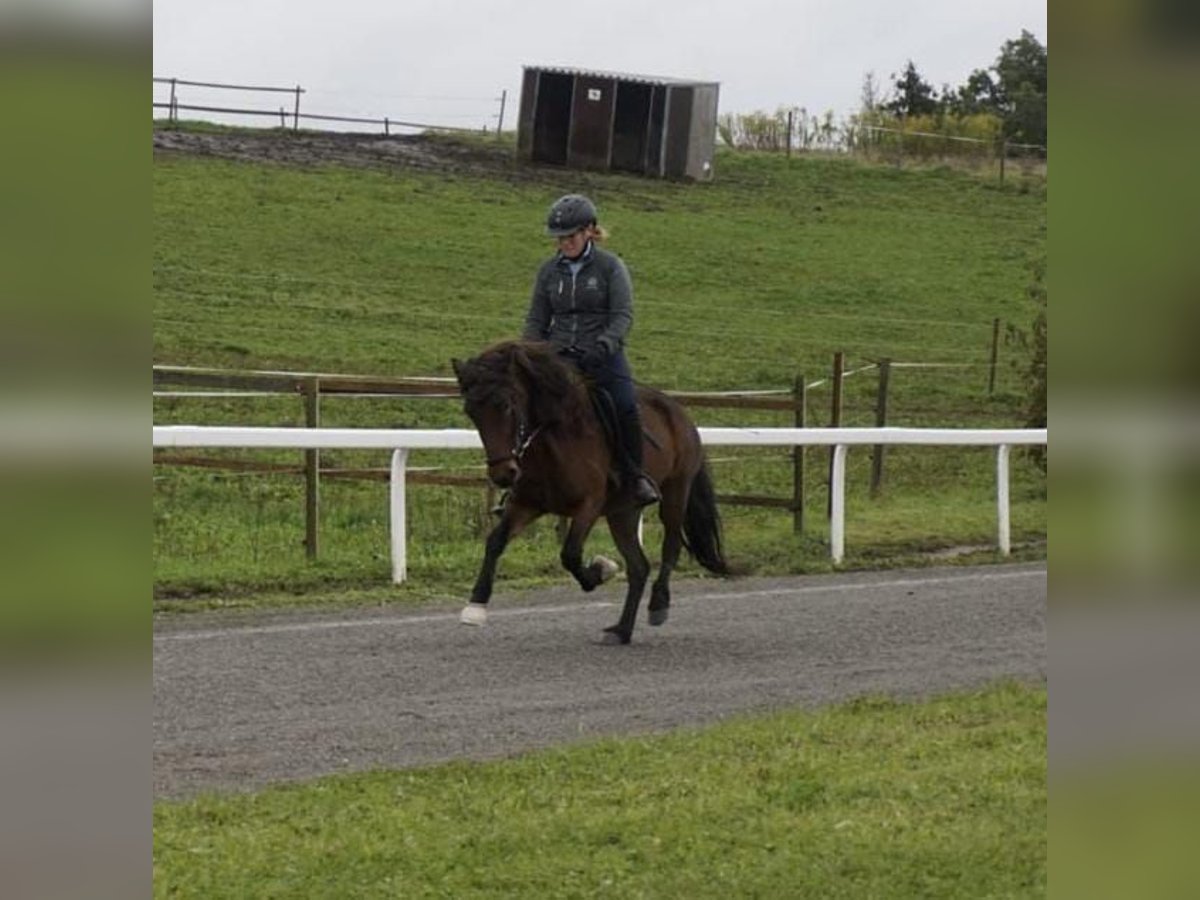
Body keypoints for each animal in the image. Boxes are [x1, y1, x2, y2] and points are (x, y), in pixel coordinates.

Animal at [451, 340, 724, 643]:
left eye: (506, 405)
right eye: (471, 412)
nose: (503, 474)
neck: (555, 439)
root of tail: (679, 412)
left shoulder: (589, 505)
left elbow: (570, 554)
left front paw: (601, 571)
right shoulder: (526, 504)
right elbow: (495, 542)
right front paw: (475, 606)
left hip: (676, 492)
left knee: (671, 546)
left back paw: (658, 605)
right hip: (623, 512)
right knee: (639, 567)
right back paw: (621, 630)